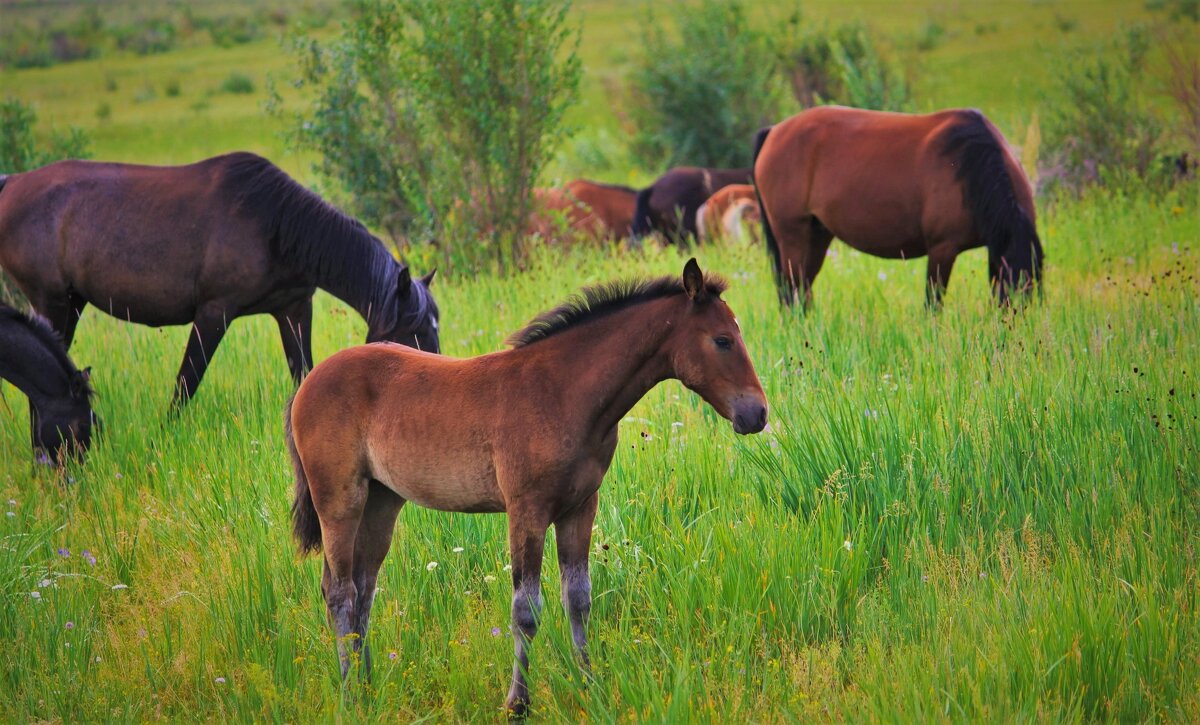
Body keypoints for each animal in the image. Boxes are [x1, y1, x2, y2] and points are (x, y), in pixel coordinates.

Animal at [0, 151, 441, 408]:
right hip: (52, 303)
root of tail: (11, 182)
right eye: (414, 331)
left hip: (71, 303)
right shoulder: (214, 313)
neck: (275, 224)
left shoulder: (294, 309)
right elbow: (186, 382)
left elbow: (303, 373)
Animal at [285, 258, 763, 715]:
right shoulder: (526, 509)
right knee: (341, 592)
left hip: (383, 501)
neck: (563, 393)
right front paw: (518, 703)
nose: (757, 414)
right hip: (339, 499)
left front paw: (589, 686)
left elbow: (579, 598)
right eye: (723, 340)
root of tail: (309, 382)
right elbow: (526, 609)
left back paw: (366, 683)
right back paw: (351, 693)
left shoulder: (580, 507)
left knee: (363, 587)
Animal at [748, 106, 1041, 306]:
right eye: (1012, 289)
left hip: (817, 235)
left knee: (802, 290)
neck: (970, 165)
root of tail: (774, 131)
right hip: (793, 235)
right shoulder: (942, 249)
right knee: (791, 291)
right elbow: (933, 303)